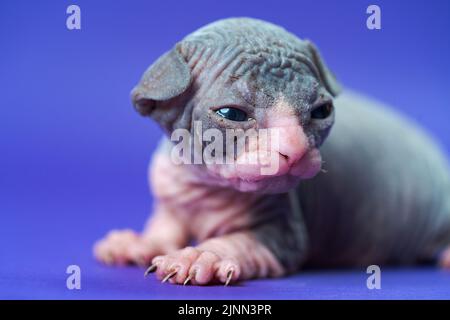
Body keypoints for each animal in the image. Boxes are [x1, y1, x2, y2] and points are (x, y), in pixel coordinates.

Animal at [93, 17, 450, 286]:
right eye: (232, 114)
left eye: (322, 111)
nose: (295, 149)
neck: (204, 187)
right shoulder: (170, 195)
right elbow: (164, 228)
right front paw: (137, 243)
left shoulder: (283, 230)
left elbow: (245, 242)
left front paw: (202, 256)